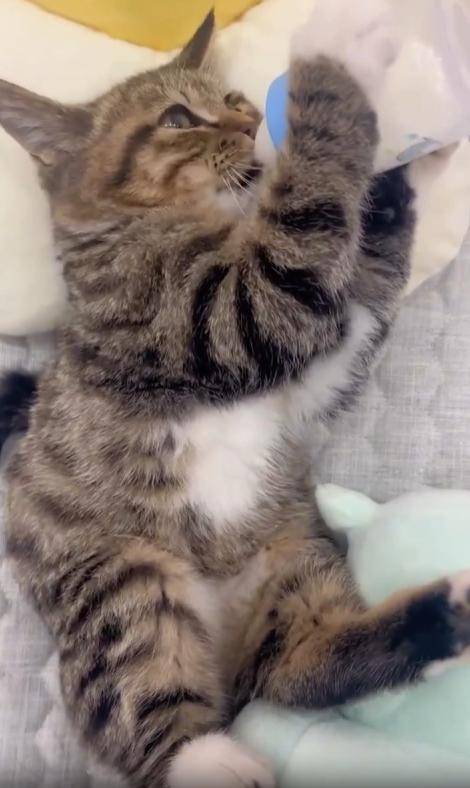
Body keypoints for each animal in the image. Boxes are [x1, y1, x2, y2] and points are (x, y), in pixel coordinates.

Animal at [2, 1, 470, 786]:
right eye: (177, 118)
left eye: (235, 100)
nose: (254, 122)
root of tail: (225, 650)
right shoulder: (223, 317)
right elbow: (295, 250)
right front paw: (333, 63)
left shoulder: (310, 364)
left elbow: (355, 292)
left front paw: (400, 181)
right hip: (121, 579)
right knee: (149, 707)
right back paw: (209, 759)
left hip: (293, 555)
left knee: (292, 672)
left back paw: (433, 622)